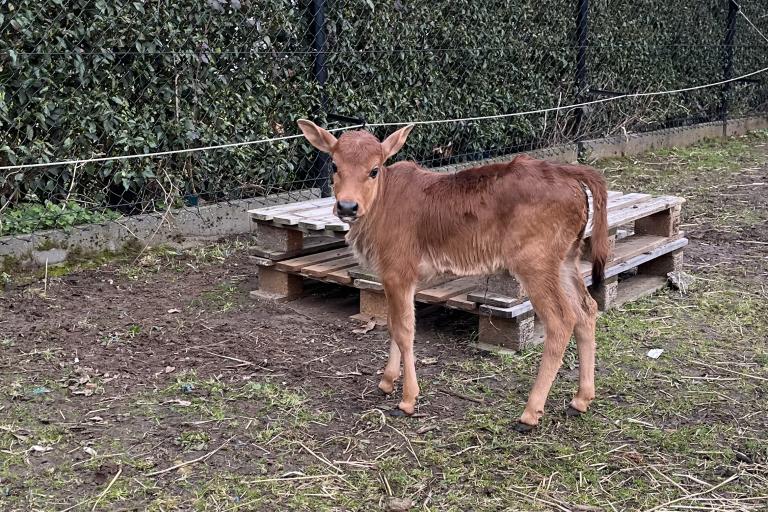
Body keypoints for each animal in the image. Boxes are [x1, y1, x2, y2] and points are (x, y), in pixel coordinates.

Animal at [296, 119, 608, 428]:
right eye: (334, 165)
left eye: (374, 170)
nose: (347, 206)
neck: (381, 204)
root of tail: (568, 173)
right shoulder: (389, 277)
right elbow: (392, 324)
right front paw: (387, 381)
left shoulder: (399, 272)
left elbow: (405, 330)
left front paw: (408, 399)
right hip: (566, 260)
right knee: (587, 310)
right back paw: (581, 399)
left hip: (535, 264)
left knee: (562, 320)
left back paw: (530, 413)